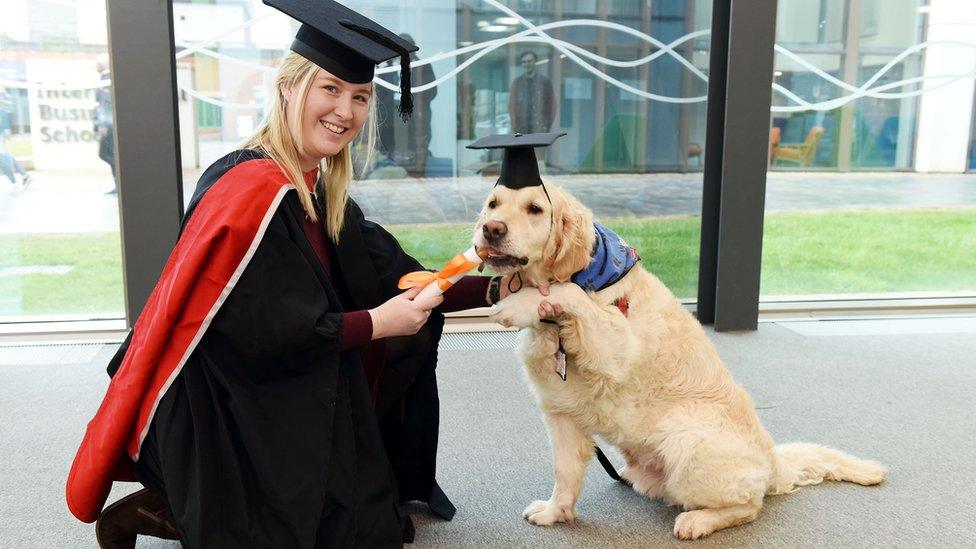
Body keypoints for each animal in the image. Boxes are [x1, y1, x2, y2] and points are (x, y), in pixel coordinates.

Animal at [476, 182, 888, 536]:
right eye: (494, 203)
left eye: (535, 208)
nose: (490, 229)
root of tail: (774, 461)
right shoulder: (561, 414)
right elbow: (565, 472)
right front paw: (555, 512)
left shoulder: (617, 346)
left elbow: (570, 291)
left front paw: (518, 304)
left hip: (687, 440)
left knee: (749, 505)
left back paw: (698, 521)